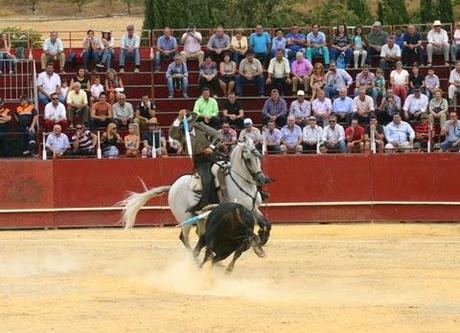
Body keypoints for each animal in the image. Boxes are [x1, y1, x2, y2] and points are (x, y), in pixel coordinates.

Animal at [118, 137, 272, 249]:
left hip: (199, 216)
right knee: (184, 237)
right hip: (184, 217)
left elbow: (267, 223)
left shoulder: (254, 208)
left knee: (200, 233)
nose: (261, 179)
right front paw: (259, 237)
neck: (241, 181)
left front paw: (262, 237)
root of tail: (173, 186)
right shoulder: (244, 210)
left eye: (259, 157)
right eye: (248, 159)